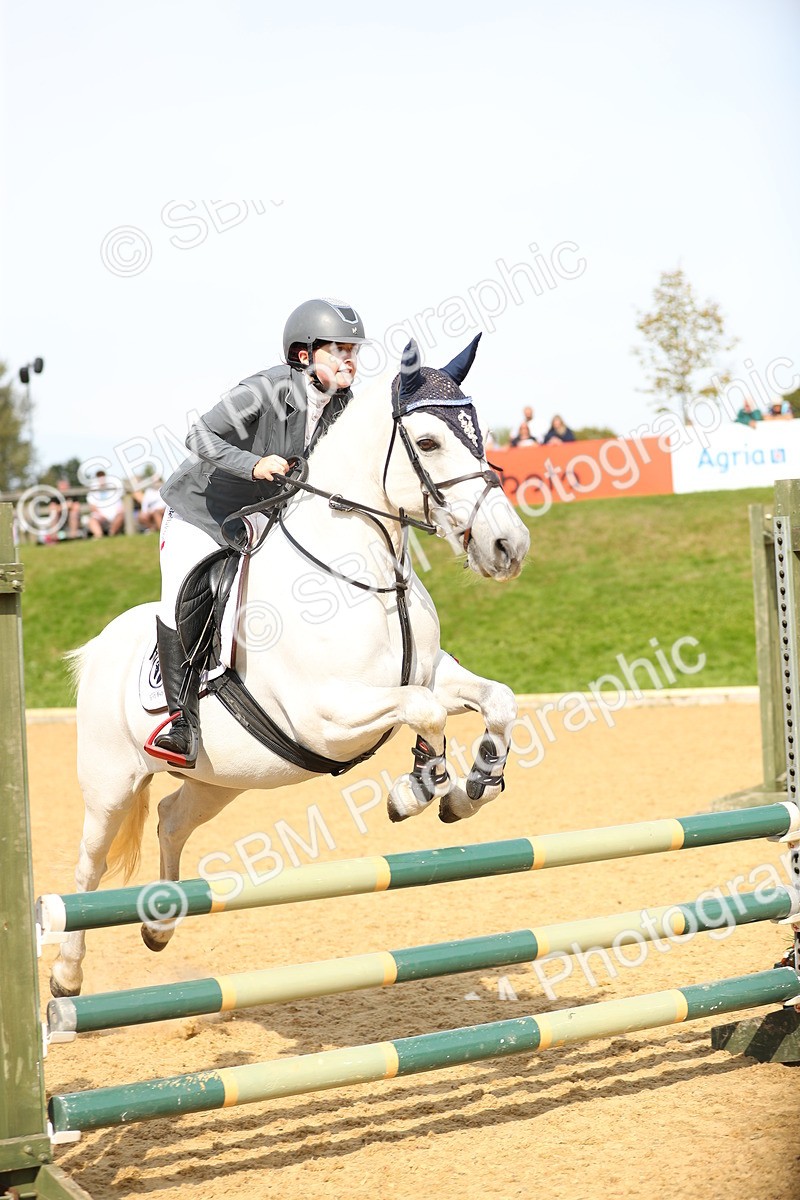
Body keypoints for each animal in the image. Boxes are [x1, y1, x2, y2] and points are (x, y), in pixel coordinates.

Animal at [50, 338, 530, 998]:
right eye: (430, 442)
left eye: (480, 434)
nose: (509, 546)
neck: (367, 572)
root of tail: (100, 645)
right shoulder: (327, 714)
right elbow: (425, 712)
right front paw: (415, 789)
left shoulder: (430, 674)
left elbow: (496, 700)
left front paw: (471, 788)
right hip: (110, 783)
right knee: (88, 865)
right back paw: (66, 976)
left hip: (221, 778)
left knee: (173, 819)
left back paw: (161, 922)